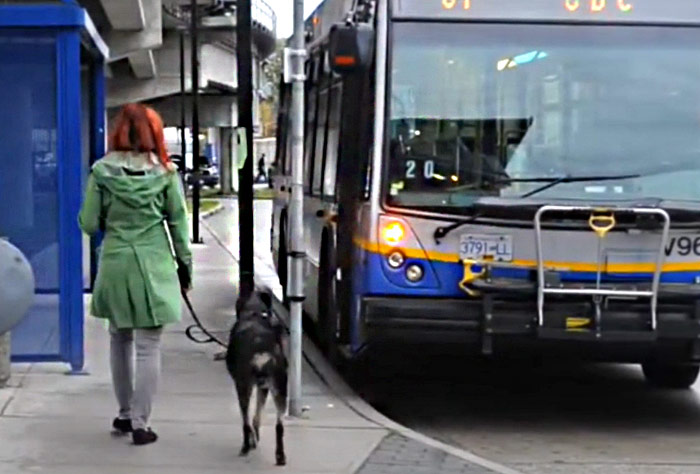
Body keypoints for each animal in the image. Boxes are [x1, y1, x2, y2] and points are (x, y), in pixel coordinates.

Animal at [227, 288, 288, 466]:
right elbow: (257, 418)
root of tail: (261, 351)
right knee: (279, 426)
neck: (254, 313)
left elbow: (250, 420)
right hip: (280, 388)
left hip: (243, 387)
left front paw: (252, 442)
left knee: (245, 421)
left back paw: (245, 447)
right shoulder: (264, 387)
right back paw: (280, 456)